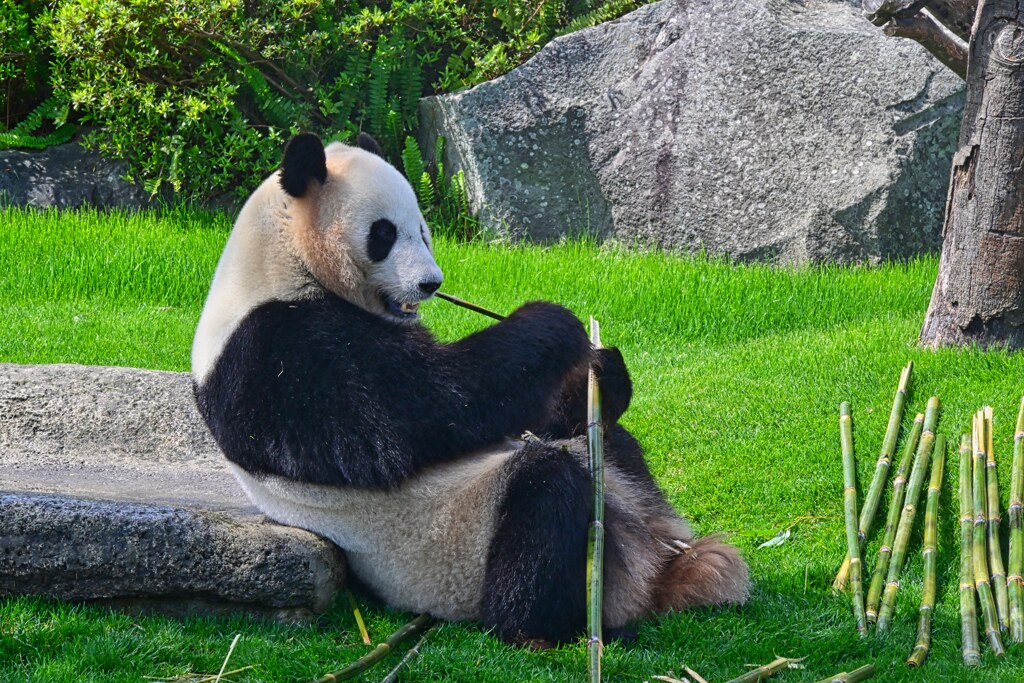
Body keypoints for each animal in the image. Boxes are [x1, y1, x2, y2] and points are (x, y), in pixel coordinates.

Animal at [192, 132, 749, 647]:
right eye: (383, 234)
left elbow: (532, 414)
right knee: (543, 494)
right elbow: (416, 416)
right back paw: (547, 627)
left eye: (423, 229)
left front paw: (605, 370)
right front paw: (552, 322)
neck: (278, 257)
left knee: (607, 444)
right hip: (448, 551)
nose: (431, 284)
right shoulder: (279, 353)